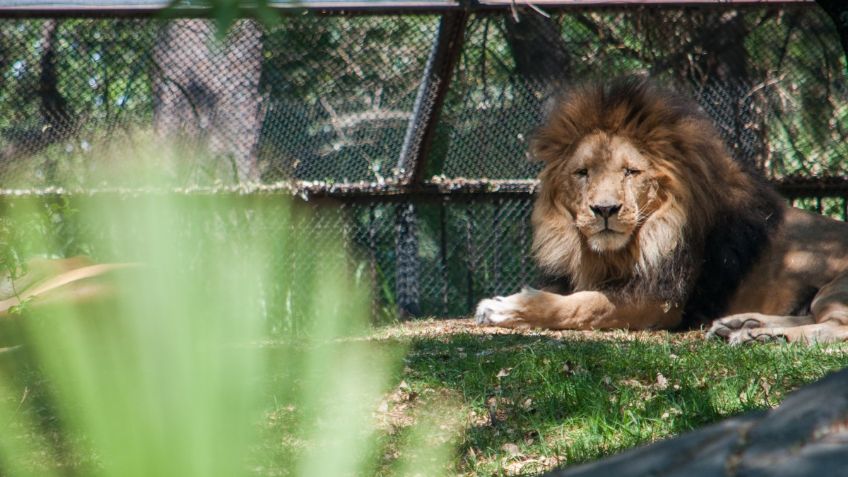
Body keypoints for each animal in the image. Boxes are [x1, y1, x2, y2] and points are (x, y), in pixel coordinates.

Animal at [474, 79, 848, 346]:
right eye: (582, 173)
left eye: (630, 172)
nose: (605, 209)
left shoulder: (661, 302)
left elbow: (585, 304)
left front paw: (504, 307)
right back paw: (740, 324)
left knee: (834, 328)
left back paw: (759, 336)